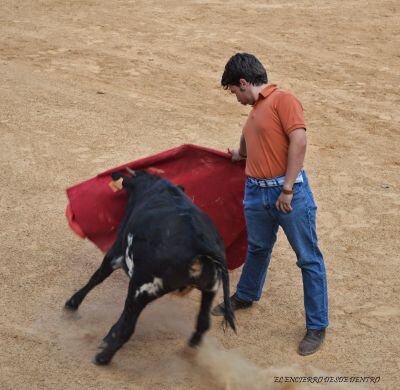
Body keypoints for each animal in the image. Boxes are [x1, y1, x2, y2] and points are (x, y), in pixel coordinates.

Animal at [64, 169, 236, 364]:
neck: (157, 187)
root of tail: (202, 243)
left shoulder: (116, 254)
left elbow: (97, 277)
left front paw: (72, 303)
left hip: (142, 287)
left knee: (128, 327)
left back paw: (103, 358)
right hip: (210, 288)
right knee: (203, 323)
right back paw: (189, 351)